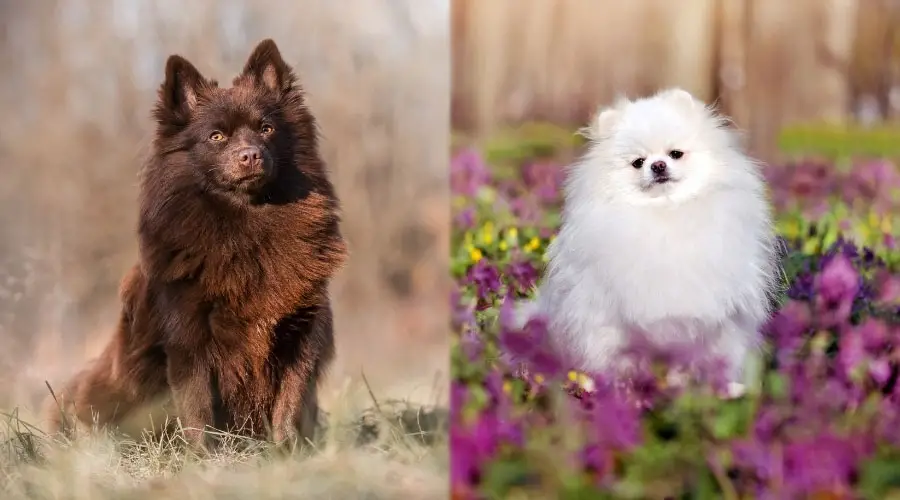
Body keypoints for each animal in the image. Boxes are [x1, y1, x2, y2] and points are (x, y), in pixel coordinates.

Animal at [44, 37, 348, 448]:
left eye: (266, 128)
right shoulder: (188, 338)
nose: (250, 155)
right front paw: (204, 455)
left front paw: (287, 450)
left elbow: (291, 400)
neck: (247, 225)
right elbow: (198, 406)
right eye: (216, 137)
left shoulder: (302, 334)